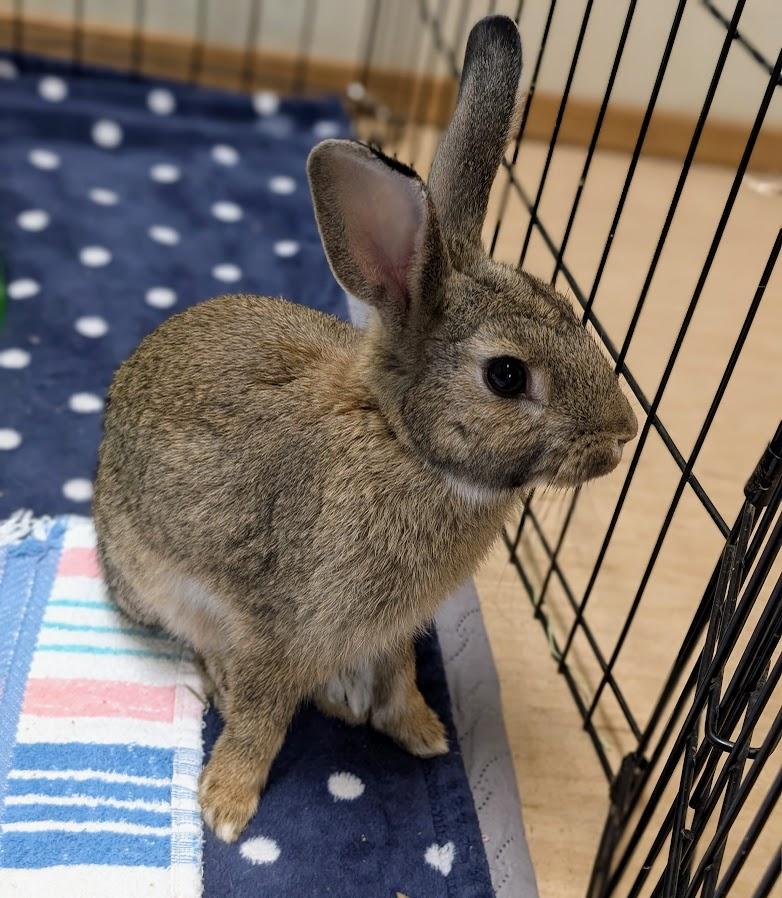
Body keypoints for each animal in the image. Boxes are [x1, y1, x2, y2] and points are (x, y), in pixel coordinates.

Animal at [93, 14, 637, 843]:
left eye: (564, 304)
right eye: (507, 377)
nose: (624, 433)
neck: (404, 442)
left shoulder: (394, 626)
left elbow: (400, 673)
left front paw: (420, 730)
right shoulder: (281, 624)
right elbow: (262, 717)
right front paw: (226, 805)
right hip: (162, 583)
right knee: (201, 647)